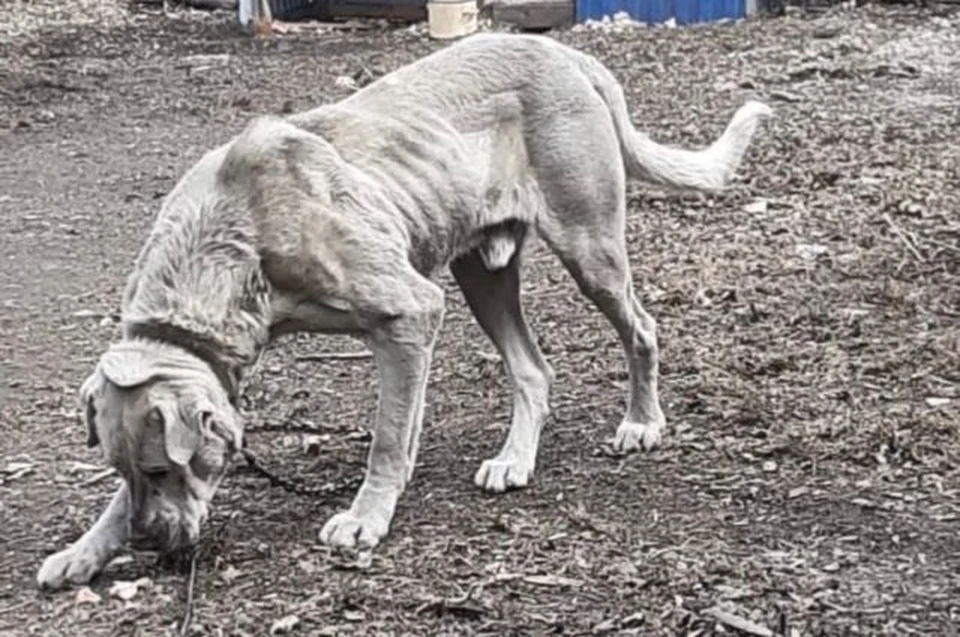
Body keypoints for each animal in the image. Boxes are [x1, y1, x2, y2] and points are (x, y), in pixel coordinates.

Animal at [39, 29, 772, 588]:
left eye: (164, 469)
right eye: (127, 470)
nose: (153, 545)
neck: (234, 235)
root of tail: (565, 51)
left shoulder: (409, 314)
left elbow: (389, 436)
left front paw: (366, 517)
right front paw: (84, 549)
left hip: (589, 250)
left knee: (640, 330)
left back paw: (641, 422)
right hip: (481, 274)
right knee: (533, 370)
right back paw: (515, 459)